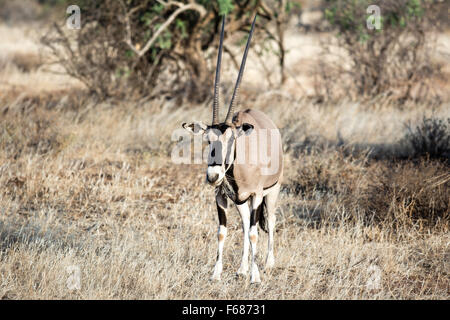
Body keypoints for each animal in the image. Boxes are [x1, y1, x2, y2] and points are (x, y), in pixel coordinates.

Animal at [182, 16, 282, 284]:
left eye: (230, 141)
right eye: (207, 140)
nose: (213, 176)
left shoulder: (257, 194)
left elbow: (256, 233)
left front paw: (256, 277)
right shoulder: (221, 196)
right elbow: (222, 232)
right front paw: (216, 273)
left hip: (272, 191)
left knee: (270, 221)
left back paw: (268, 263)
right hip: (240, 201)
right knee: (246, 224)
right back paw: (242, 268)